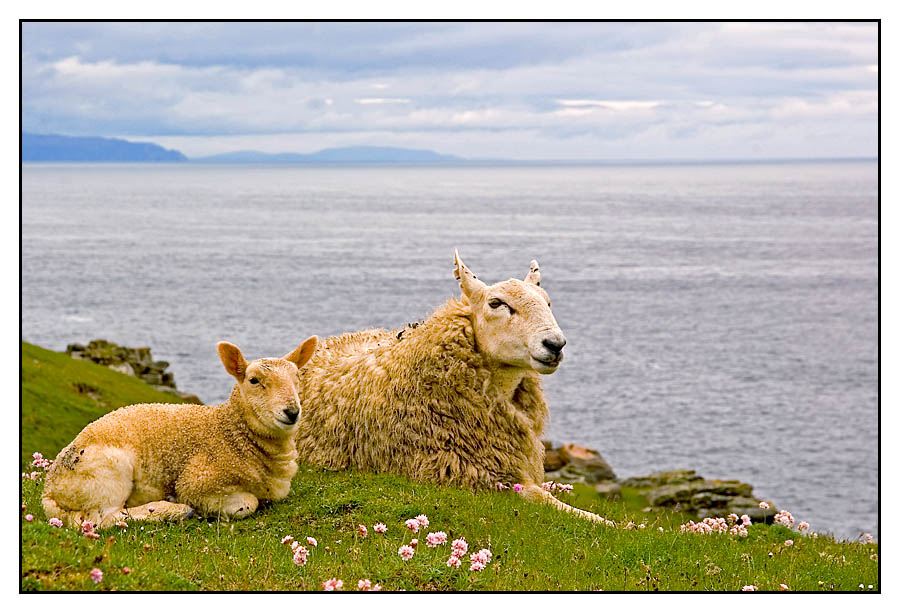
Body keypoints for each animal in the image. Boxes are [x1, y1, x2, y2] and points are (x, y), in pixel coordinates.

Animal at [42, 334, 318, 524]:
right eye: (254, 380)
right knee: (102, 519)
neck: (232, 434)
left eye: (298, 379)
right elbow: (249, 503)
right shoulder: (197, 481)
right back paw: (172, 510)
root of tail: (48, 490)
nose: (292, 411)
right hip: (109, 475)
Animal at [298, 251, 604, 520]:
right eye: (496, 303)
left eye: (548, 303)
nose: (555, 344)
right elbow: (545, 500)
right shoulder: (475, 476)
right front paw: (611, 523)